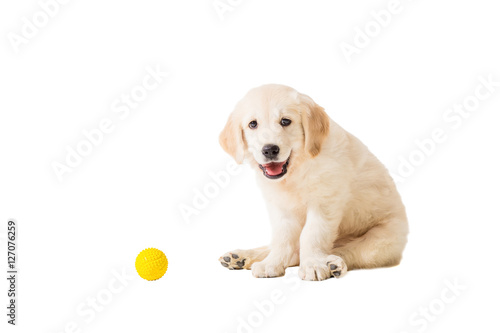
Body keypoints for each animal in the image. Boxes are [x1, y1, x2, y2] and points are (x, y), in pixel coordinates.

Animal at [218, 83, 406, 280]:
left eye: (285, 121)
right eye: (253, 124)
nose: (269, 150)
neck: (296, 170)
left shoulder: (324, 203)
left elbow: (312, 234)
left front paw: (313, 264)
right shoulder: (281, 207)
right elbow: (282, 238)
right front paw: (272, 263)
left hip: (382, 241)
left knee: (348, 251)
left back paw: (333, 263)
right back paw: (241, 257)